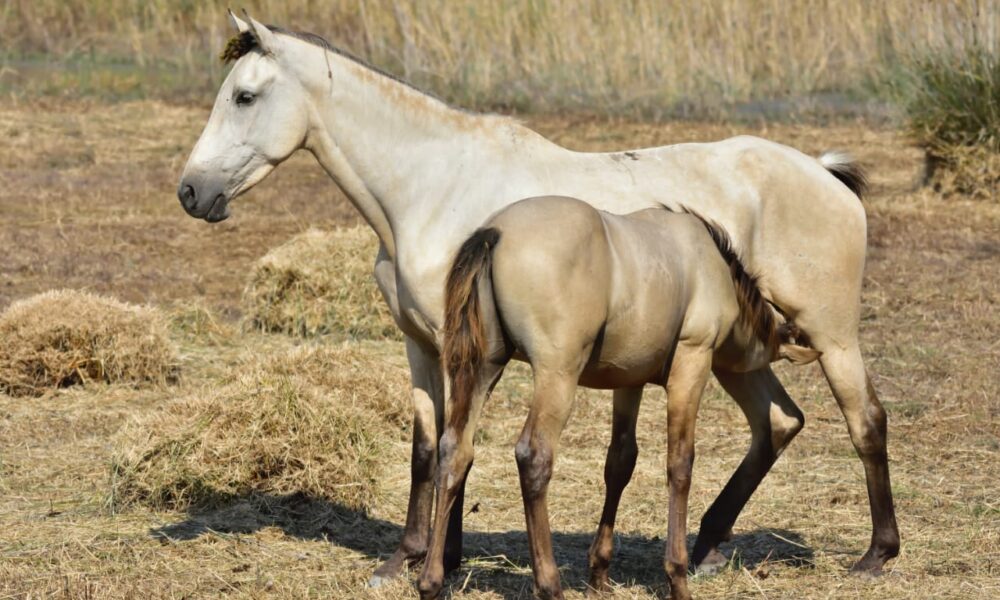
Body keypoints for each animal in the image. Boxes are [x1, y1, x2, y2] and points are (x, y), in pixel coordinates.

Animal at [417, 196, 821, 600]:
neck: (710, 262)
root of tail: (495, 232)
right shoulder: (691, 364)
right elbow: (680, 465)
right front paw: (677, 577)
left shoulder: (629, 380)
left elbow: (620, 463)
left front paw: (600, 572)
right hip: (557, 375)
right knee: (533, 456)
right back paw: (549, 583)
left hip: (484, 368)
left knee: (455, 450)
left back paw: (430, 581)